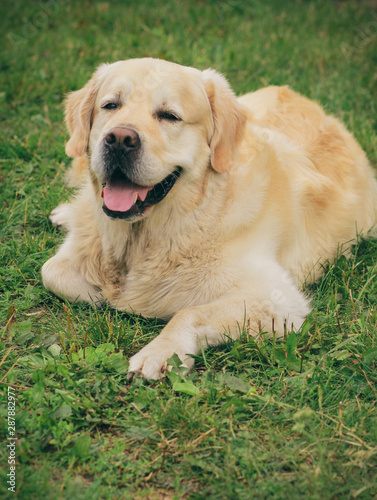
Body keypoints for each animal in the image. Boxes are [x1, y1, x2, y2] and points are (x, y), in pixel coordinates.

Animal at [42, 57, 376, 378]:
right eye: (110, 105)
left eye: (169, 116)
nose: (120, 139)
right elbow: (51, 272)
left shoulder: (276, 298)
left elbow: (188, 311)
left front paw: (160, 351)